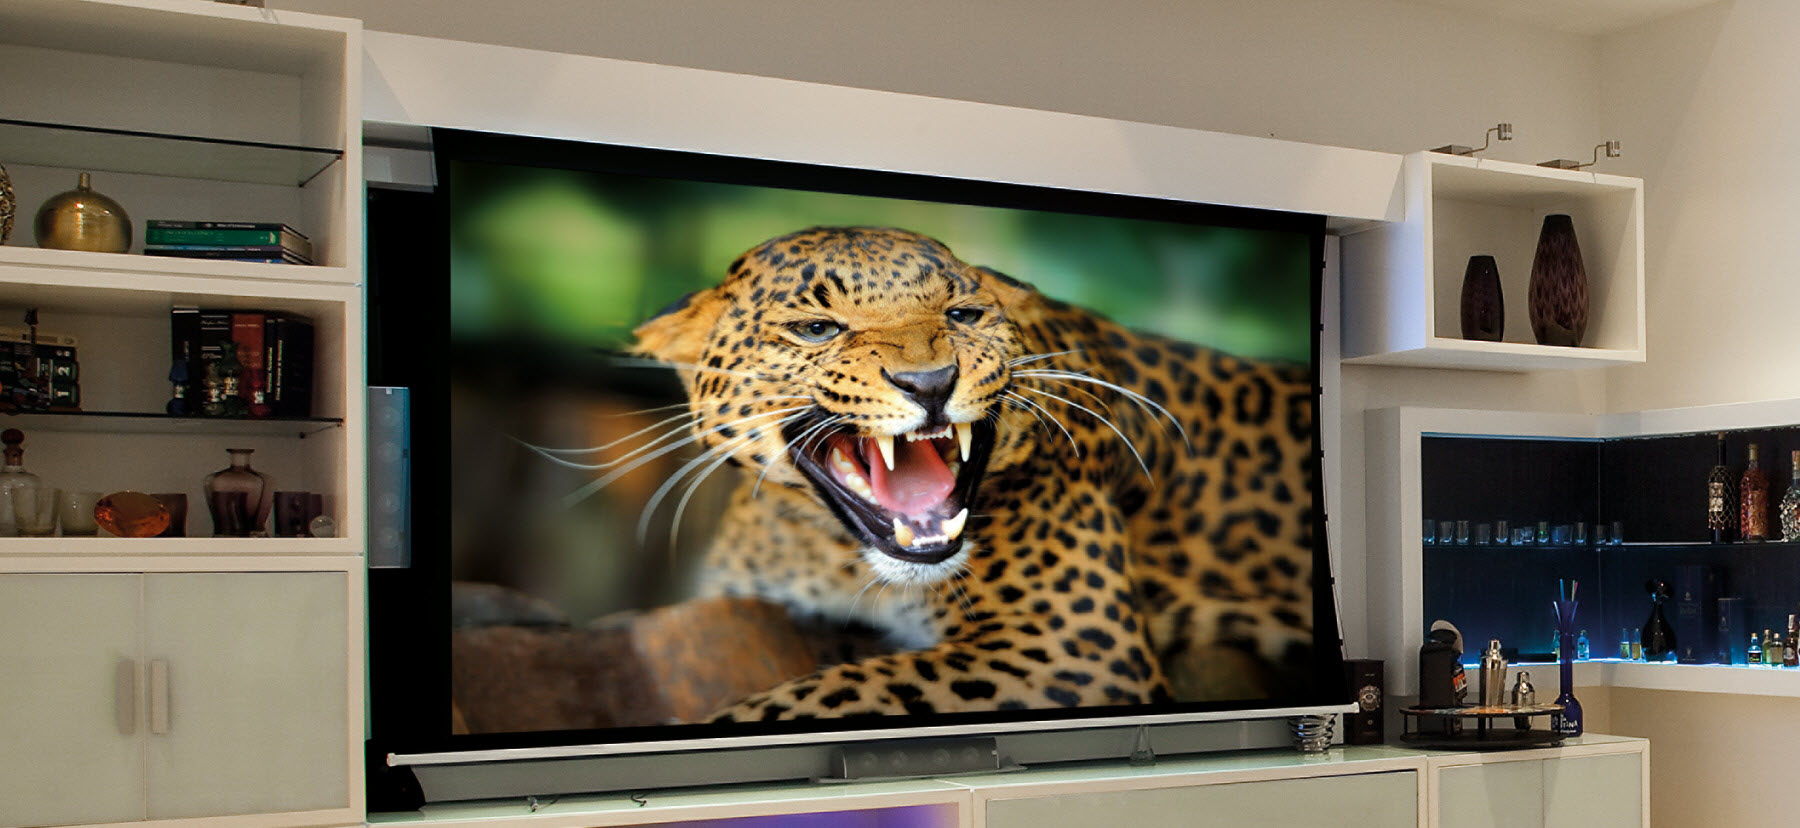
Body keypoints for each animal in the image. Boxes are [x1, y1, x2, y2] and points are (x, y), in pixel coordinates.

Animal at [630, 226, 1319, 722]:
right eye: (817, 329)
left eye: (963, 315)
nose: (930, 382)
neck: (834, 554)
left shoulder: (1071, 649)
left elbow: (817, 696)